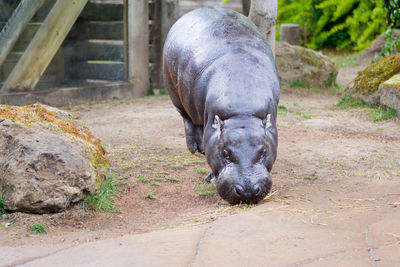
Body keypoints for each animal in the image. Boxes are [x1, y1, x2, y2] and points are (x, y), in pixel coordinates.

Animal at [162, 6, 278, 204]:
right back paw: (195, 148)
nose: (247, 191)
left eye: (263, 151)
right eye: (225, 152)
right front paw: (210, 177)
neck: (242, 112)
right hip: (174, 93)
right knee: (188, 120)